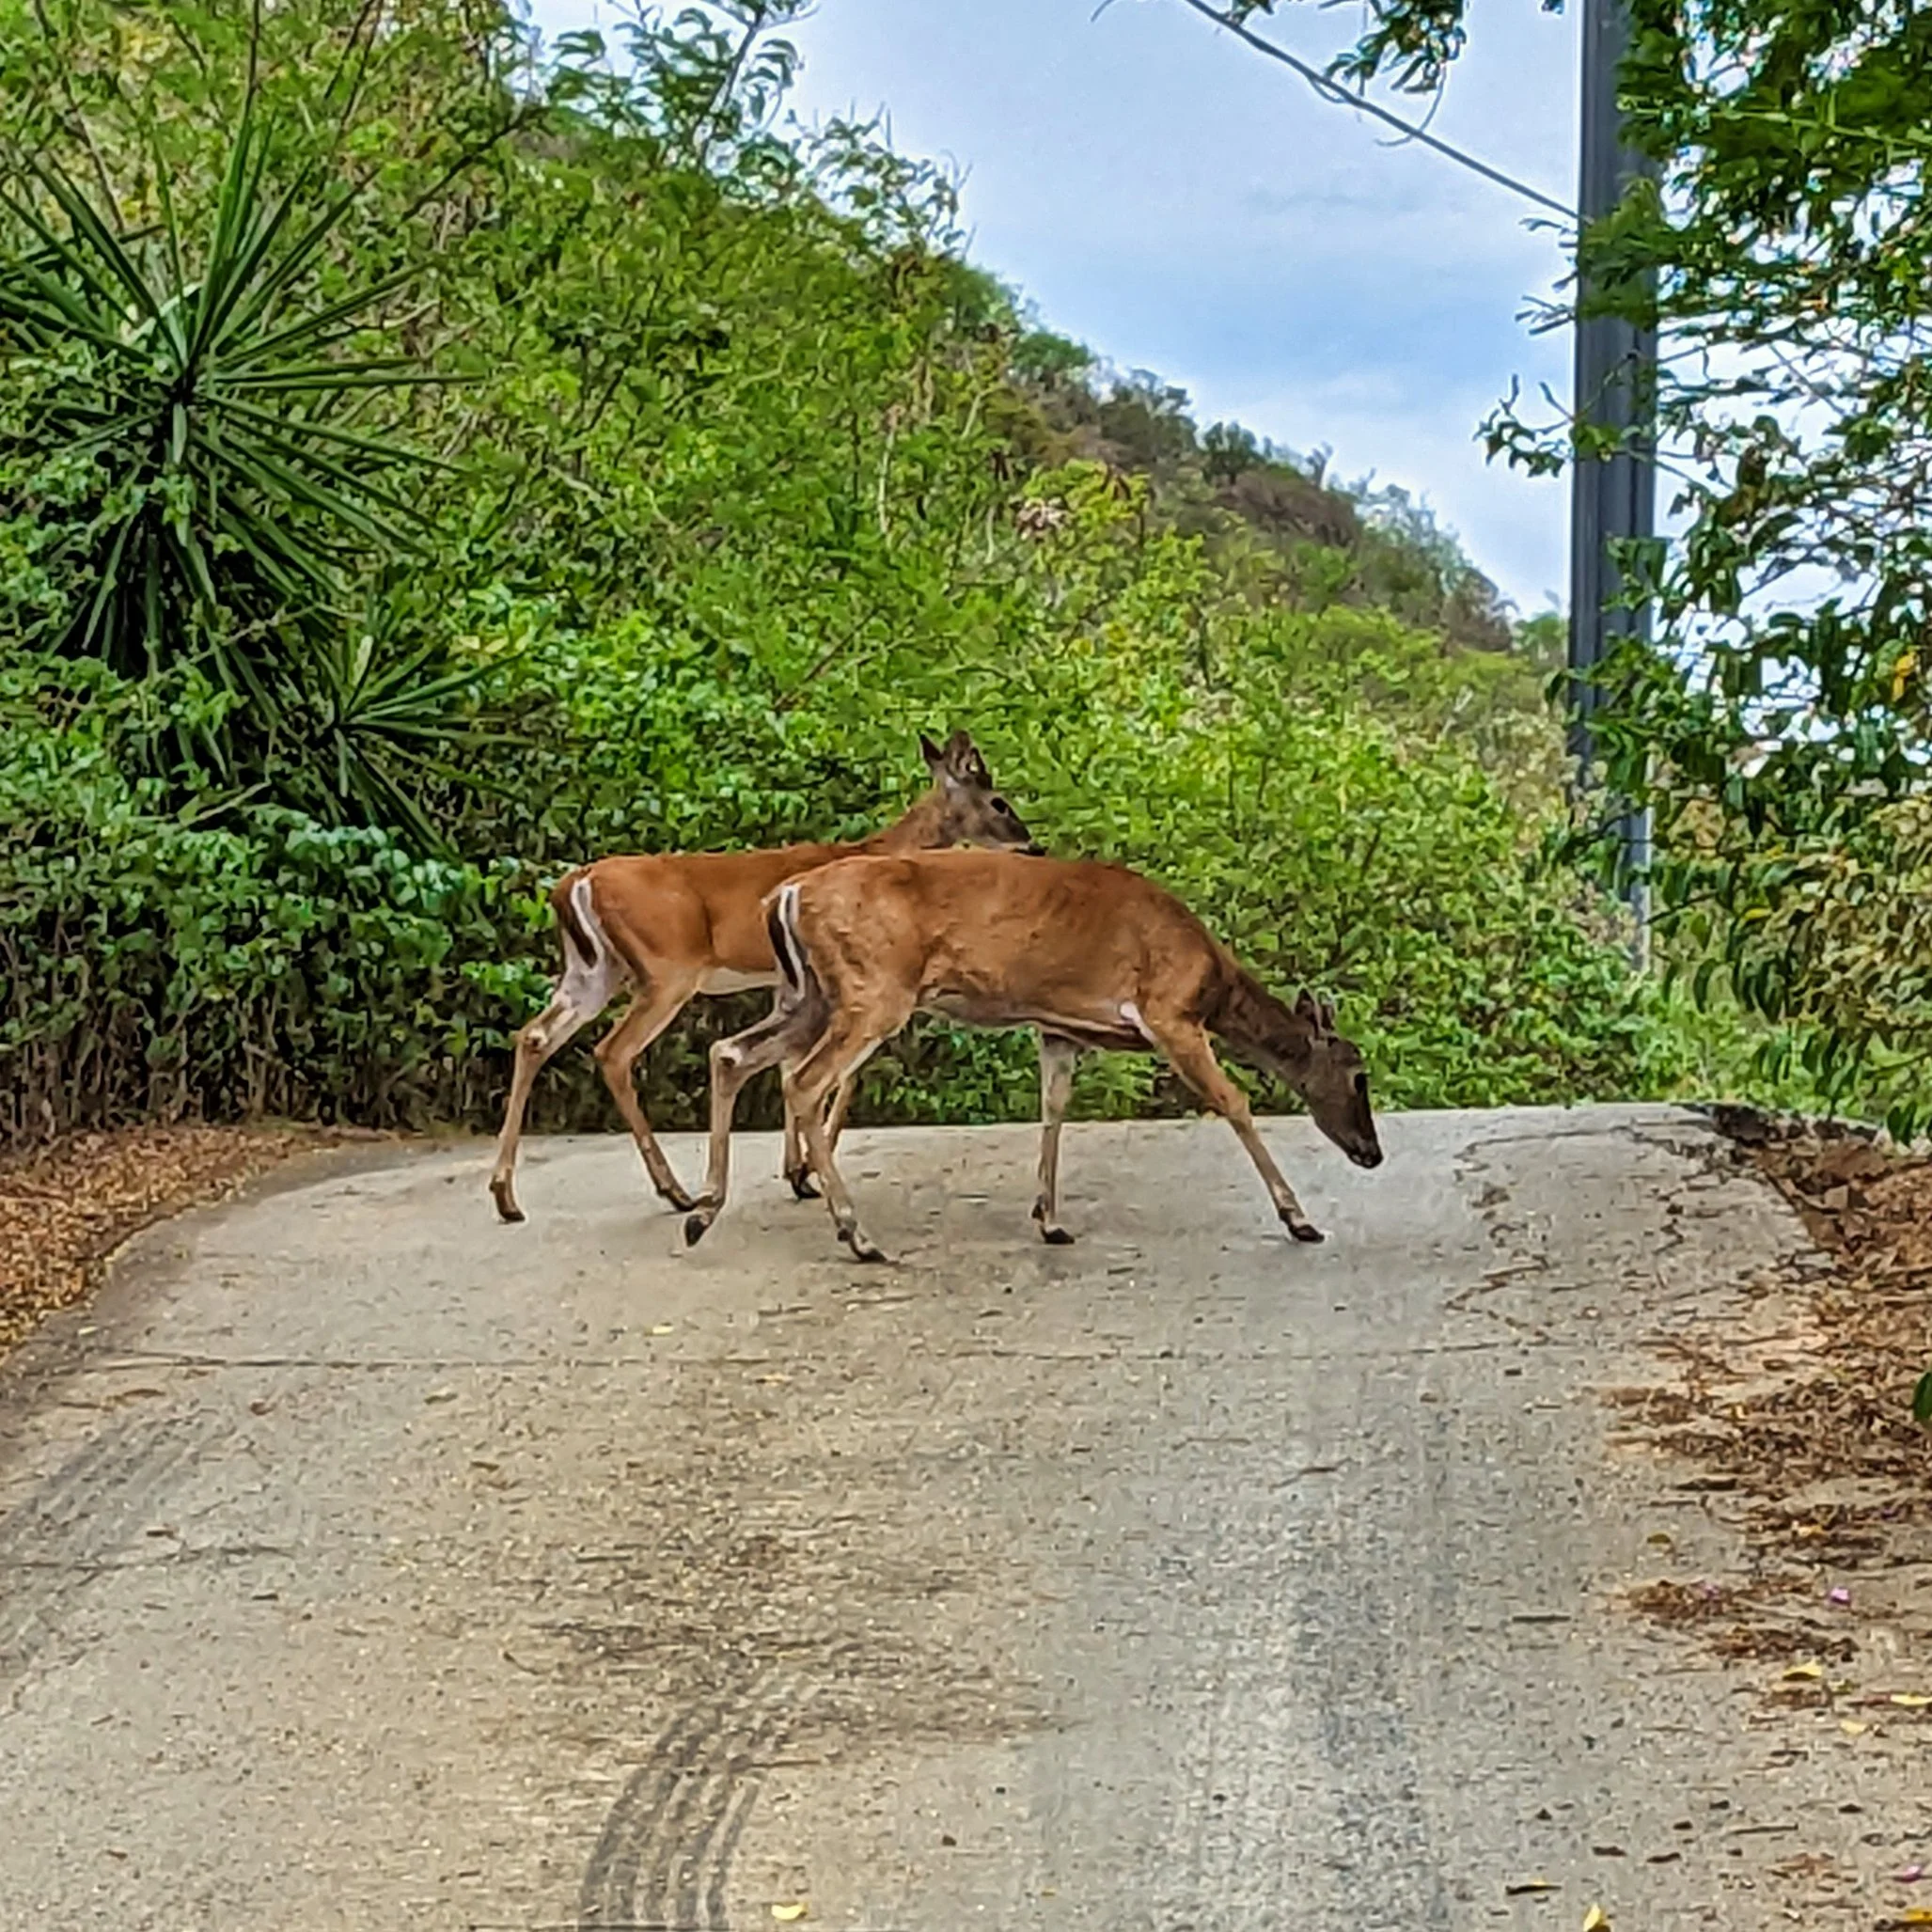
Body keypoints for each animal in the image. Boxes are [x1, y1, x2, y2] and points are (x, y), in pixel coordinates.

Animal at [488, 733, 1038, 1224]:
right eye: (999, 801)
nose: (1032, 845)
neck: (878, 849)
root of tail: (573, 883)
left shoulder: (784, 978)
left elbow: (788, 1062)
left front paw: (798, 1172)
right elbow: (838, 1071)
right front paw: (808, 1170)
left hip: (593, 970)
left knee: (534, 1036)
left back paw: (506, 1196)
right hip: (667, 970)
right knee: (614, 1052)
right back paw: (676, 1192)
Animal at [681, 848, 1384, 1262]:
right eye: (1357, 1075)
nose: (1372, 1153)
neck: (1213, 982)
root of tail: (786, 895)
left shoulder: (1060, 1026)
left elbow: (1053, 1108)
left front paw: (1048, 1219)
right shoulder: (1168, 1011)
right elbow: (1233, 1101)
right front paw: (1299, 1219)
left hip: (810, 994)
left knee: (731, 1052)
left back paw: (703, 1210)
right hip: (872, 988)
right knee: (802, 1080)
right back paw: (856, 1234)